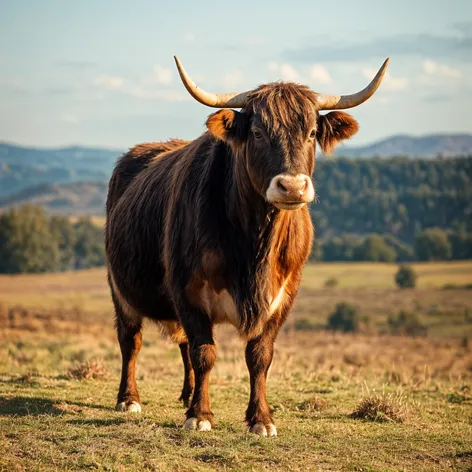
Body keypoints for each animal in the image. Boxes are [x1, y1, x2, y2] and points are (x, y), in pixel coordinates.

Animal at [105, 55, 390, 436]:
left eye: (312, 133)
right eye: (257, 133)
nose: (292, 186)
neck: (254, 245)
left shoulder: (283, 294)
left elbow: (259, 357)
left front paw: (261, 418)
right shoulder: (187, 290)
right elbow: (204, 352)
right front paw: (200, 416)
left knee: (179, 344)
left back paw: (185, 395)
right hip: (119, 288)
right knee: (131, 340)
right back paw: (129, 398)